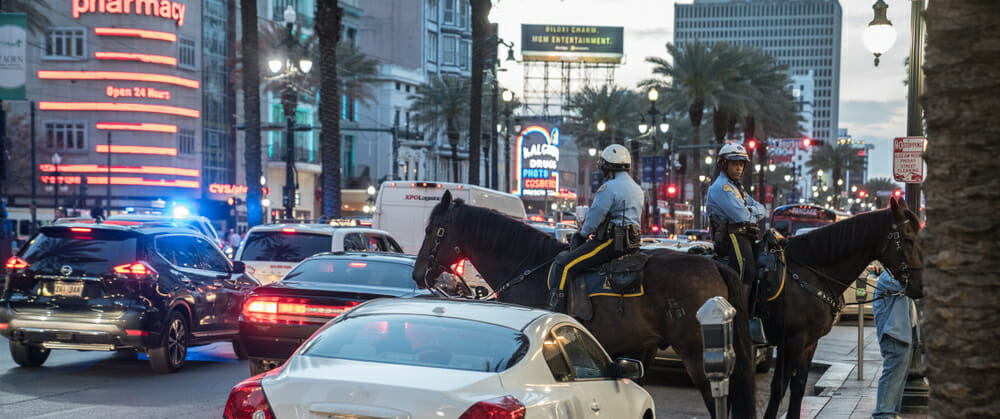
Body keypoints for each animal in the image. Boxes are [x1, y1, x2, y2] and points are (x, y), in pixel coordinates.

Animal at [764, 198, 920, 419]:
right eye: (908, 240)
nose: (922, 285)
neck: (811, 273)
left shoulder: (808, 342)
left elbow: (798, 387)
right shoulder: (790, 340)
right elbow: (778, 387)